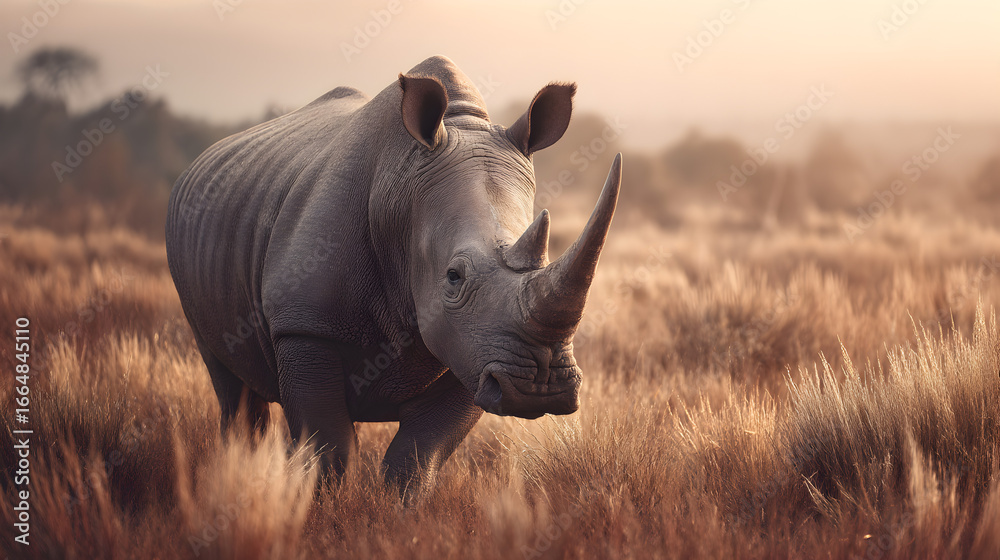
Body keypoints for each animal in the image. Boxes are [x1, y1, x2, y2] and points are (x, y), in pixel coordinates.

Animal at [165, 55, 622, 495]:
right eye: (453, 277)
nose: (538, 386)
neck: (400, 195)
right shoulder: (303, 326)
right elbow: (328, 448)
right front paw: (323, 509)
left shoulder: (472, 347)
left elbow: (418, 456)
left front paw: (403, 510)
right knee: (230, 384)